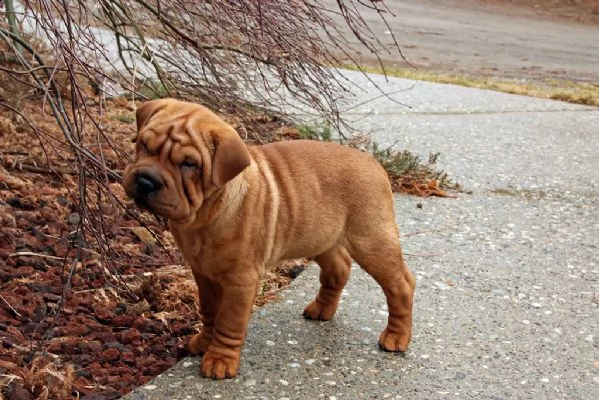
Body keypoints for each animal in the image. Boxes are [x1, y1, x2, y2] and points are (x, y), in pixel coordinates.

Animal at [119, 98, 414, 380]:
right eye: (144, 144)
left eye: (189, 164)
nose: (145, 181)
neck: (204, 216)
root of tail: (375, 163)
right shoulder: (203, 273)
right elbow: (210, 311)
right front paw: (204, 343)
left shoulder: (241, 280)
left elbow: (228, 320)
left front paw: (220, 360)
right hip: (320, 237)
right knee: (338, 268)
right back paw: (321, 309)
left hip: (372, 241)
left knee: (401, 284)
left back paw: (396, 336)